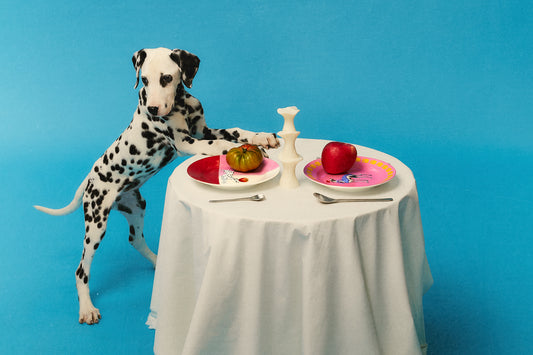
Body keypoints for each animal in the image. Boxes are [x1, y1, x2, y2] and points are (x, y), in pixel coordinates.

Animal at [33, 47, 278, 326]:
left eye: (166, 78)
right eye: (145, 80)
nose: (153, 107)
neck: (181, 103)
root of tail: (90, 178)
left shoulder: (203, 131)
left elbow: (235, 131)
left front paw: (261, 137)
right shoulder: (187, 143)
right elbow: (219, 145)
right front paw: (247, 148)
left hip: (136, 206)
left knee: (135, 239)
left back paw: (159, 262)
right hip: (96, 222)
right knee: (81, 270)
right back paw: (87, 307)